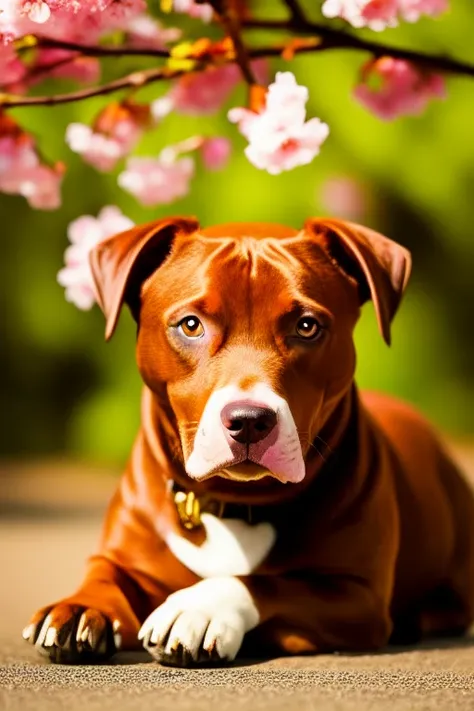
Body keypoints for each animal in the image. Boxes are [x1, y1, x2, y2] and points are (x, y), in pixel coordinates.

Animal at [24, 217, 474, 668]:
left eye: (306, 326)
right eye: (191, 325)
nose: (249, 421)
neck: (236, 506)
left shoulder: (357, 595)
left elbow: (271, 583)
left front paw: (198, 609)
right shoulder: (122, 555)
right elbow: (105, 574)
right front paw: (82, 607)